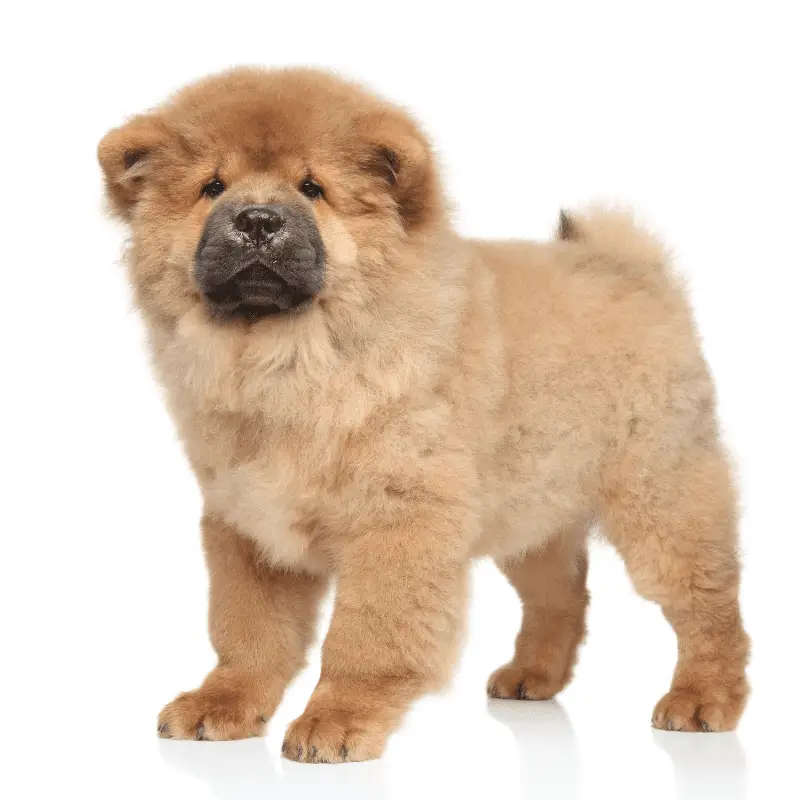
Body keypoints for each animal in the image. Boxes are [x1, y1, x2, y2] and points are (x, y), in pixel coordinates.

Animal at [98, 69, 752, 764]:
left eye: (313, 189)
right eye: (212, 188)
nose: (256, 220)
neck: (291, 361)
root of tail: (634, 271)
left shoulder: (399, 515)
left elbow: (366, 636)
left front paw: (337, 721)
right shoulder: (247, 519)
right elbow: (249, 631)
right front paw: (222, 704)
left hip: (662, 498)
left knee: (709, 604)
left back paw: (703, 699)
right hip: (531, 509)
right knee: (563, 594)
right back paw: (532, 677)